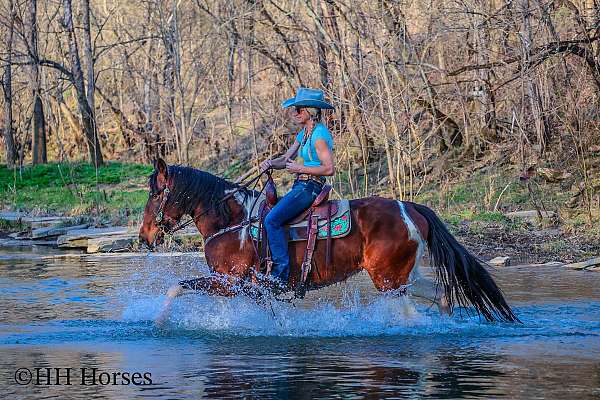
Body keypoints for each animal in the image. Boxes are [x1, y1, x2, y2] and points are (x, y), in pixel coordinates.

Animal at [138, 158, 516, 324]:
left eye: (156, 194)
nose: (144, 237)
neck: (233, 221)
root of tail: (410, 207)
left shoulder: (228, 282)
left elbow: (176, 288)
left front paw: (158, 324)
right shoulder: (246, 289)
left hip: (388, 280)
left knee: (410, 316)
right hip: (405, 275)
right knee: (439, 295)